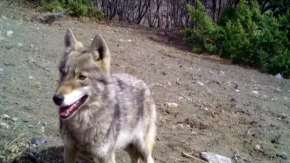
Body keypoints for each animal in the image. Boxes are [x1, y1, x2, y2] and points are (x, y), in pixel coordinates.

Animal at [51, 29, 156, 163]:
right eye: (63, 73)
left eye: (82, 77)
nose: (57, 98)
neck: (83, 125)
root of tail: (143, 83)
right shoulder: (69, 149)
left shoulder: (107, 156)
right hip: (127, 145)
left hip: (143, 146)